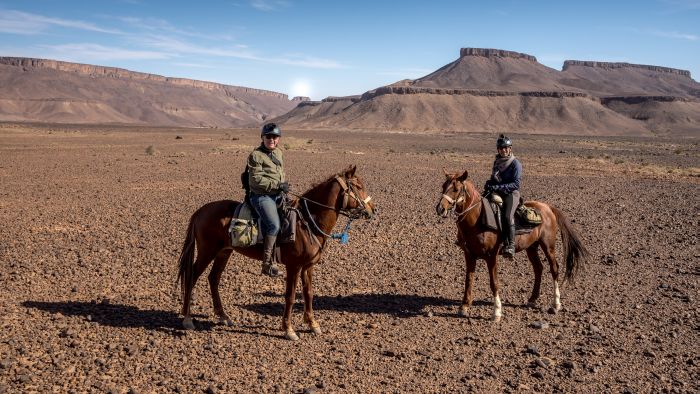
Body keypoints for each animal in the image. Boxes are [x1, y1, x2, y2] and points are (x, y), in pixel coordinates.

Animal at [178, 165, 374, 340]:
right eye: (358, 187)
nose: (372, 210)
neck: (307, 223)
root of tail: (200, 211)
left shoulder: (307, 266)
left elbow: (309, 293)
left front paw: (312, 324)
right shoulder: (294, 266)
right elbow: (290, 296)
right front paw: (288, 329)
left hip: (224, 252)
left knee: (213, 278)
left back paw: (223, 316)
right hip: (207, 251)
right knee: (192, 277)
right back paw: (187, 319)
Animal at [434, 169, 588, 320]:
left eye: (456, 189)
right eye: (443, 186)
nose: (440, 208)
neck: (477, 219)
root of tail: (548, 207)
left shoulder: (491, 256)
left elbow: (494, 282)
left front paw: (496, 312)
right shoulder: (469, 255)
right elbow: (469, 279)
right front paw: (464, 306)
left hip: (548, 246)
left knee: (554, 268)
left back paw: (556, 304)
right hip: (531, 247)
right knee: (538, 268)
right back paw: (532, 299)